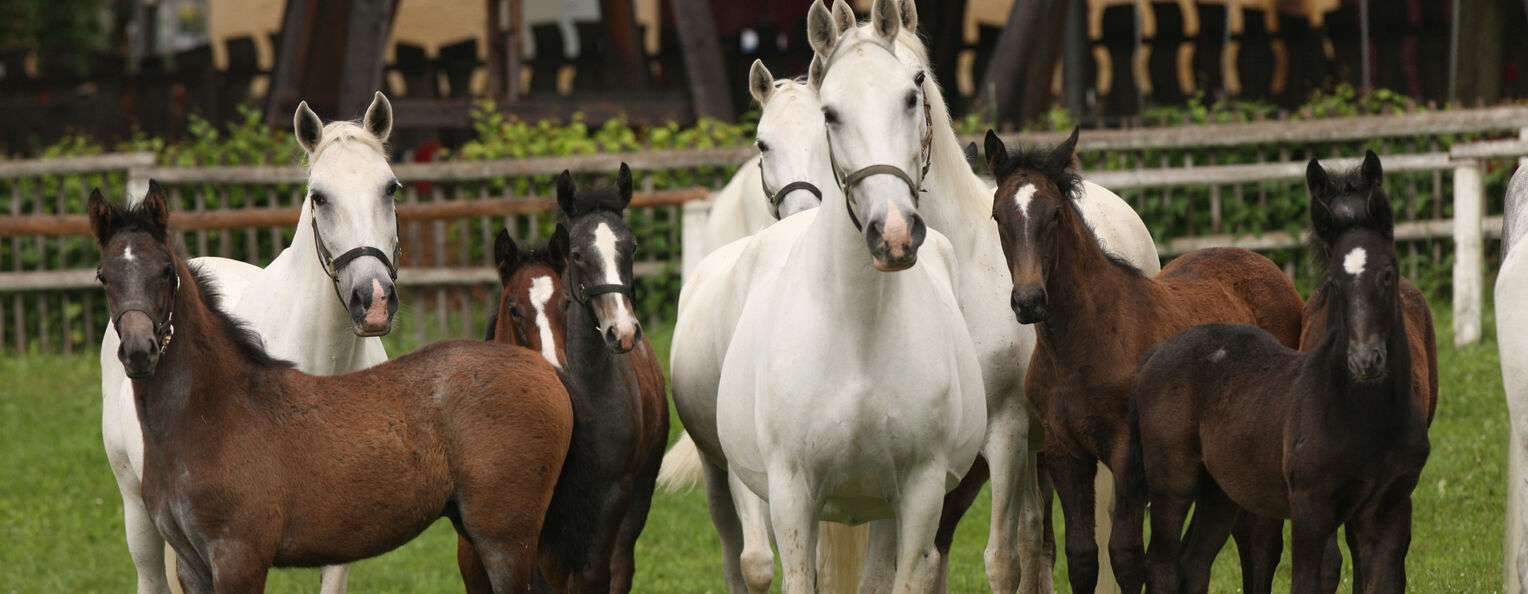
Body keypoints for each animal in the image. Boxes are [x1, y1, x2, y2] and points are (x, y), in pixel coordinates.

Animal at [718, 4, 984, 586]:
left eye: (911, 94)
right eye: (831, 113)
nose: (894, 234)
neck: (858, 329)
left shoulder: (920, 496)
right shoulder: (792, 498)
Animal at [800, 2, 1155, 589]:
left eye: (915, 86)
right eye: (828, 107)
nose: (893, 231)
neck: (958, 272)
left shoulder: (1006, 433)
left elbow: (1000, 559)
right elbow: (921, 561)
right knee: (1036, 534)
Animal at [984, 129, 1307, 592]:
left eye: (1056, 214)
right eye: (998, 216)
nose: (1029, 301)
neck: (1081, 344)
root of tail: (1266, 264)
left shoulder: (1127, 452)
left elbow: (1126, 555)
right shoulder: (1065, 452)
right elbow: (1082, 557)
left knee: (1259, 539)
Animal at [1124, 159, 1430, 589]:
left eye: (1389, 273)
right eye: (1333, 280)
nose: (1364, 359)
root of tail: (1155, 354)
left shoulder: (1391, 507)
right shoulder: (1311, 508)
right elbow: (1311, 576)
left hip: (1220, 490)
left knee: (1195, 559)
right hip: (1173, 478)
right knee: (1163, 564)